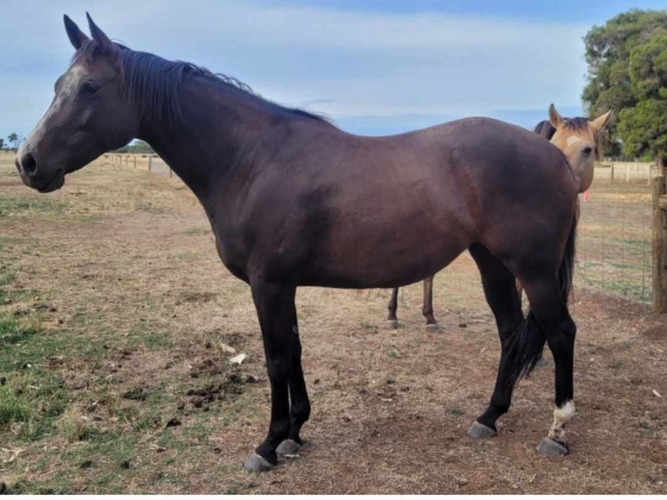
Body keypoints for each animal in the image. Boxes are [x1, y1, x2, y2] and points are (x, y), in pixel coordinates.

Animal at [16, 15, 580, 472]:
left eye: (90, 87)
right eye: (59, 84)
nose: (28, 162)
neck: (253, 159)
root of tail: (553, 155)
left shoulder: (268, 284)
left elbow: (275, 358)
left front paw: (267, 445)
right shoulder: (281, 285)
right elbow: (294, 349)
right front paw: (295, 432)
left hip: (532, 269)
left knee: (561, 333)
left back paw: (557, 431)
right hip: (493, 263)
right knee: (510, 333)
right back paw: (489, 416)